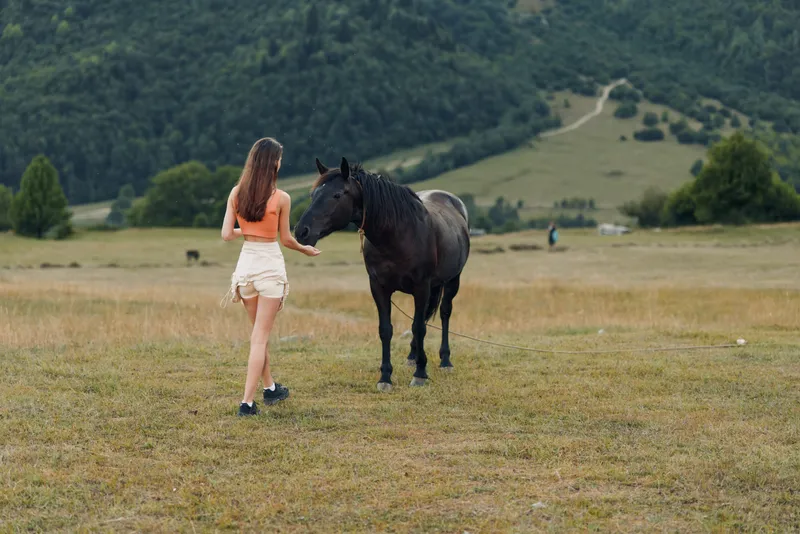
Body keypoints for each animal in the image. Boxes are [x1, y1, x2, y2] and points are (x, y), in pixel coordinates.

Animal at [295, 157, 470, 391]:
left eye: (337, 195)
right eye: (313, 194)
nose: (301, 231)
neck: (398, 235)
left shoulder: (421, 287)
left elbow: (419, 327)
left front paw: (420, 374)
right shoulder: (379, 287)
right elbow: (387, 329)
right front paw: (385, 377)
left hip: (452, 280)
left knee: (444, 313)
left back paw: (445, 361)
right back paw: (413, 356)